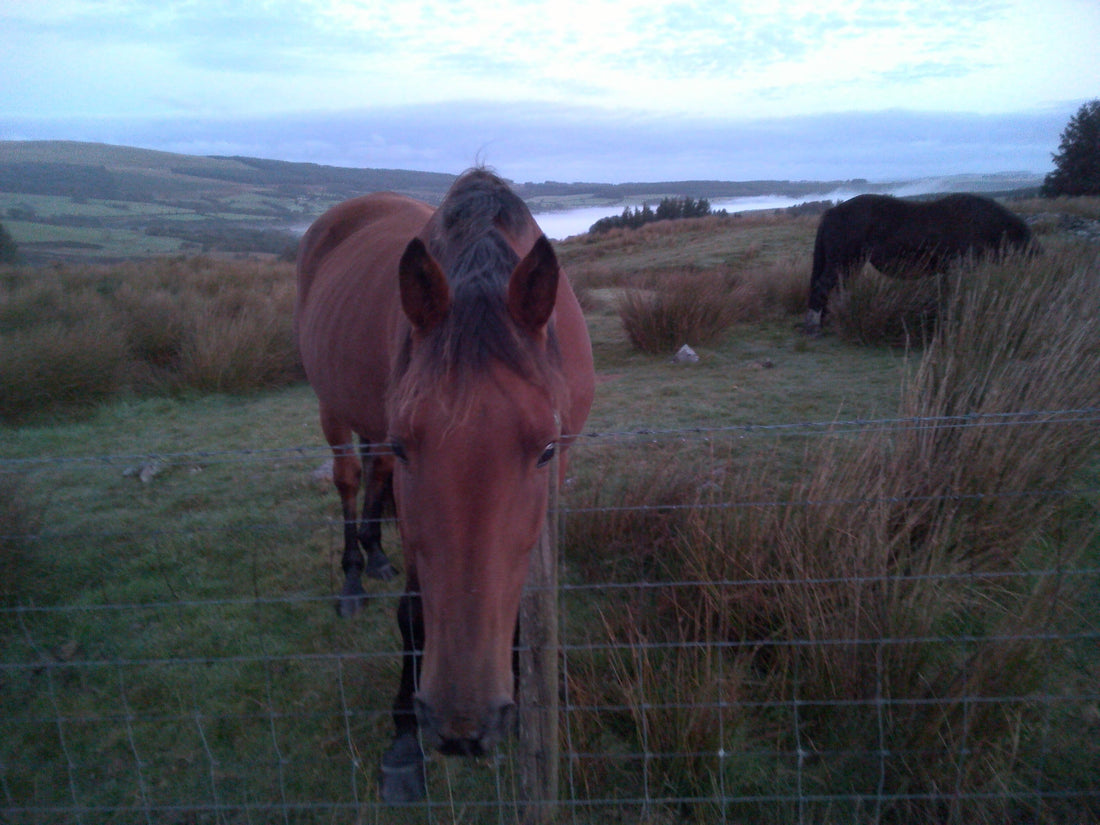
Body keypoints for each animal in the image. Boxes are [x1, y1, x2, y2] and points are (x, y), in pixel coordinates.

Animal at [295, 168, 595, 802]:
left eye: (545, 448)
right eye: (413, 445)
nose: (464, 726)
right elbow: (414, 615)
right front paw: (404, 739)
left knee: (374, 474)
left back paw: (376, 556)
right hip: (332, 406)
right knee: (350, 478)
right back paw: (354, 576)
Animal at [801, 193, 1034, 332]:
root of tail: (833, 212)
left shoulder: (949, 271)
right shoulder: (959, 269)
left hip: (852, 263)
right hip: (842, 261)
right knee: (823, 286)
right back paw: (815, 325)